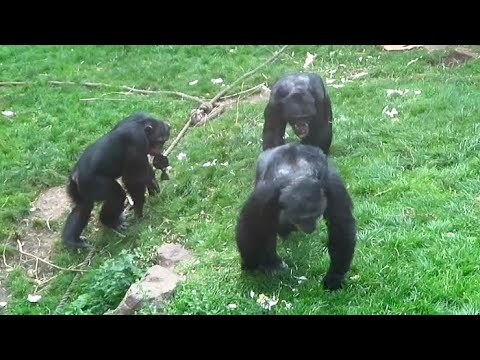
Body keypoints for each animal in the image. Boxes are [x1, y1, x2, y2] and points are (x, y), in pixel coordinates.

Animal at [61, 112, 171, 250]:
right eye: (160, 141)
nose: (160, 149)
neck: (141, 124)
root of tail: (75, 175)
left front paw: (152, 183)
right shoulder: (137, 142)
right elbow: (132, 178)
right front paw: (138, 211)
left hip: (77, 188)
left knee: (83, 207)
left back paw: (72, 240)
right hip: (94, 183)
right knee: (116, 195)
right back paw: (111, 222)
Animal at [235, 143, 356, 290]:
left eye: (315, 216)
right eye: (302, 218)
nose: (310, 227)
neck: (299, 176)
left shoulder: (333, 187)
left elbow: (340, 226)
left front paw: (334, 278)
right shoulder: (264, 195)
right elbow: (250, 225)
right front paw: (250, 264)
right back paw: (272, 263)